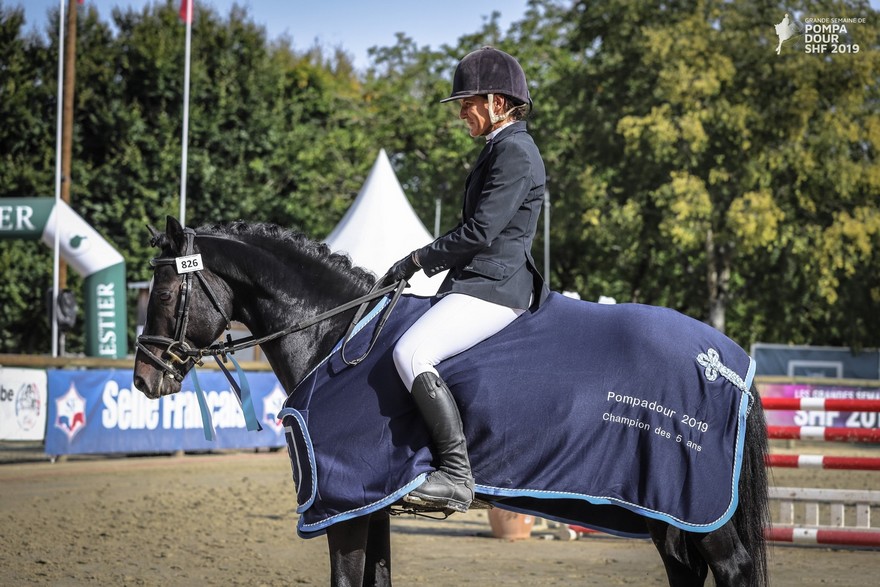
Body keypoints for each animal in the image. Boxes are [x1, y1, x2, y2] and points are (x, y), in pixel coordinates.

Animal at [132, 218, 768, 584]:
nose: (144, 378)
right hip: (667, 509)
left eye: (162, 292)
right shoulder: (369, 502)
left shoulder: (342, 502)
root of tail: (725, 359)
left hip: (698, 507)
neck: (335, 334)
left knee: (732, 567)